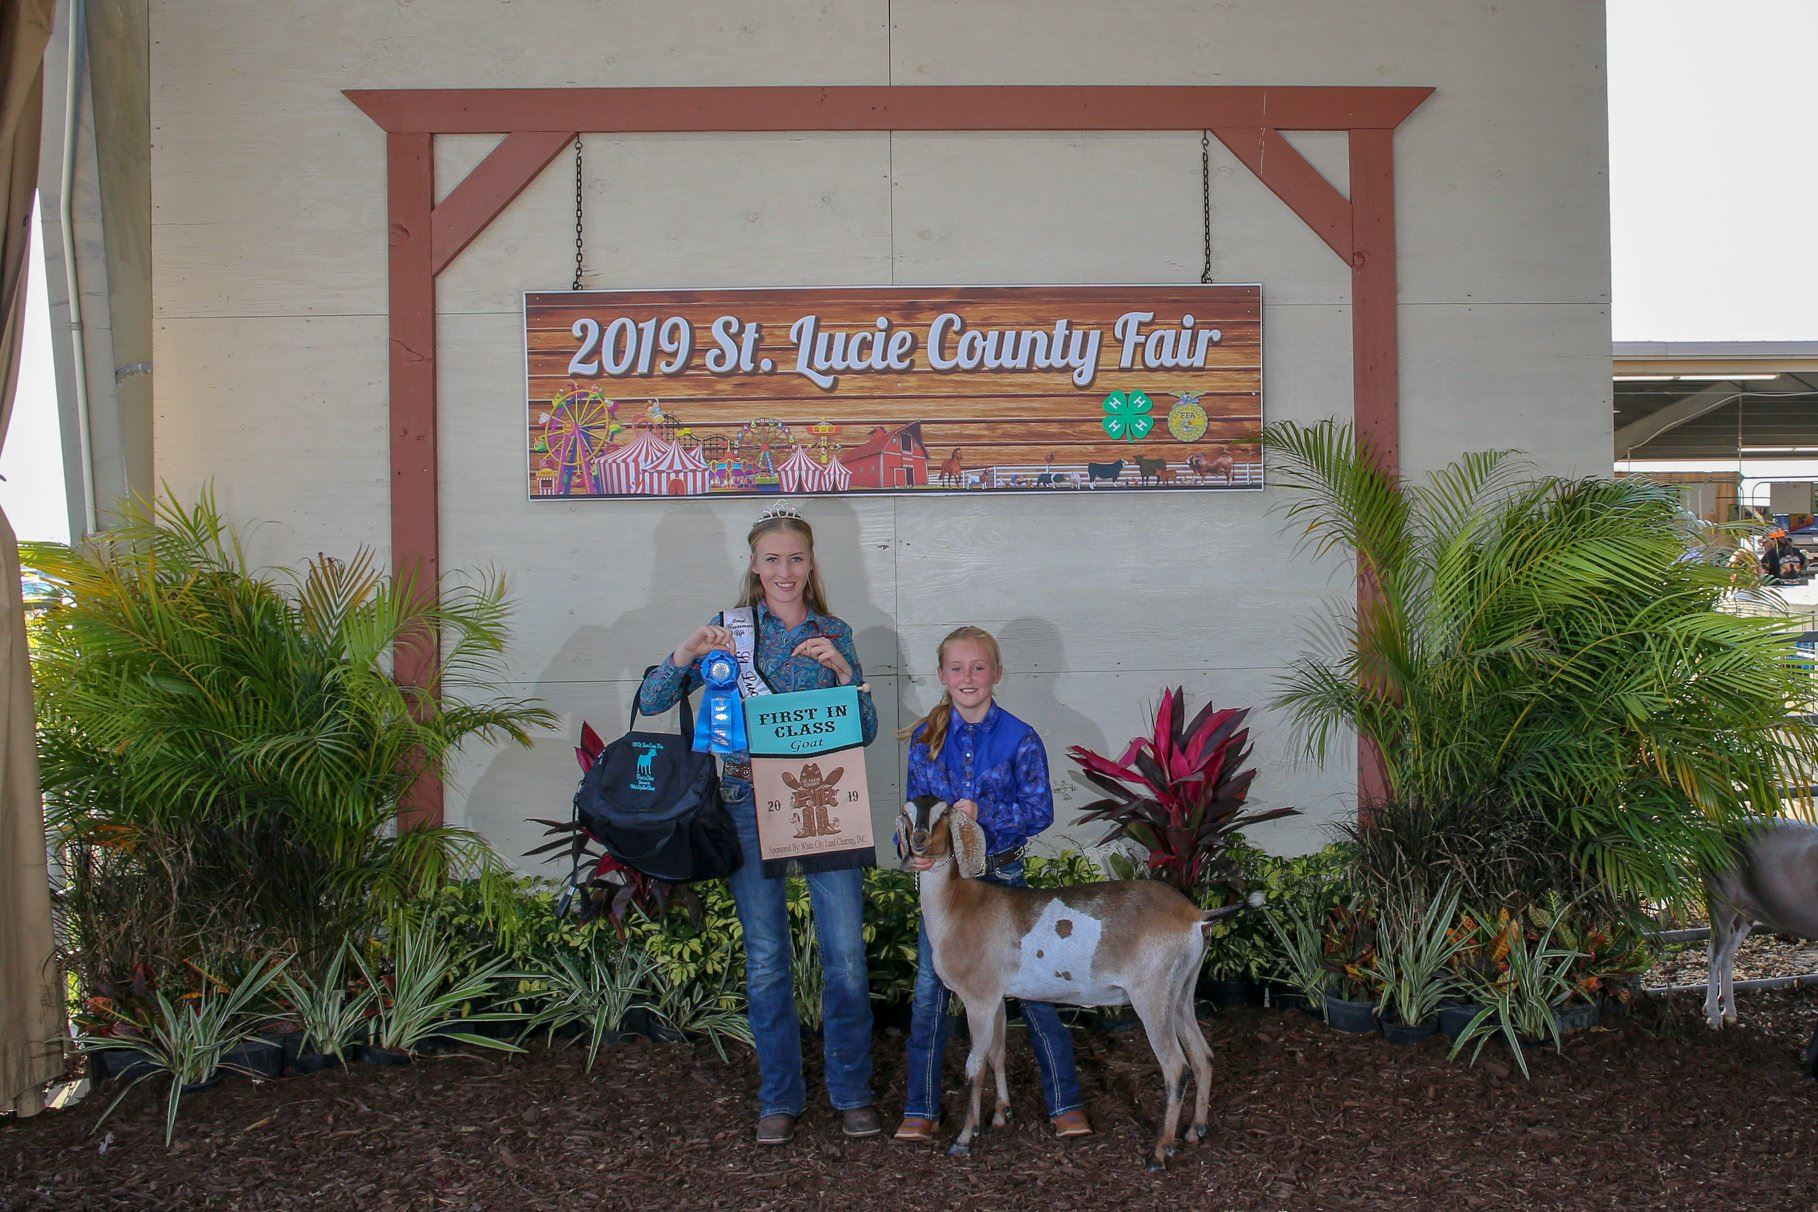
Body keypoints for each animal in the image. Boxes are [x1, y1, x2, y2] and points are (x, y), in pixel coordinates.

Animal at [901, 799, 1258, 1170]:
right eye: (907, 813)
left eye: (943, 813)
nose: (920, 840)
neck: (959, 906)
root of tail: (1194, 915)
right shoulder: (997, 998)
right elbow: (996, 1053)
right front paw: (1001, 1114)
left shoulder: (978, 998)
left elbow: (974, 1064)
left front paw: (963, 1137)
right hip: (1181, 993)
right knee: (1203, 1055)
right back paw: (1195, 1130)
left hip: (1153, 997)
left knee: (1177, 1068)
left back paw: (1160, 1151)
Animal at [1701, 821, 1818, 1032]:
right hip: (1721, 899)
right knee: (1714, 954)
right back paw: (1714, 1015)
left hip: (1745, 913)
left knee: (1728, 954)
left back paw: (1729, 1012)